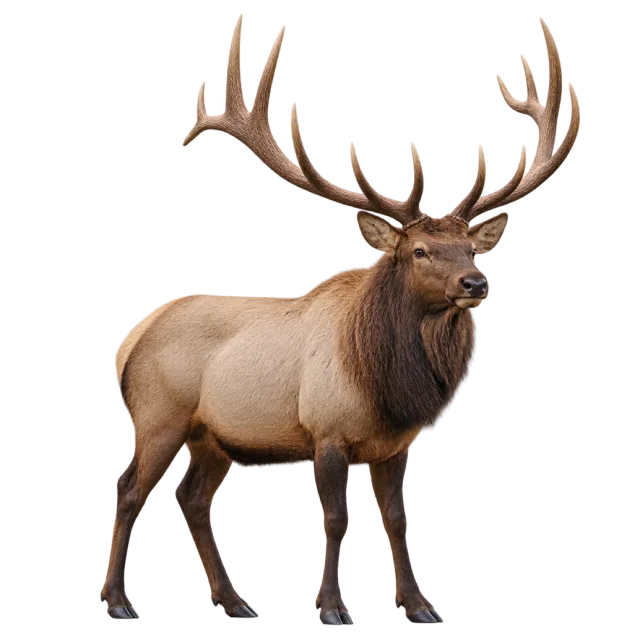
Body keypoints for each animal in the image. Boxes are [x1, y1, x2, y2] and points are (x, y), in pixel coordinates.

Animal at [104, 14, 581, 624]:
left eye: (474, 250)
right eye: (419, 251)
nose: (475, 284)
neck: (389, 389)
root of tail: (134, 335)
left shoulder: (397, 445)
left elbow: (396, 520)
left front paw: (418, 606)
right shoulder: (326, 430)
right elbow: (335, 520)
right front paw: (332, 609)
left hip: (213, 436)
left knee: (192, 499)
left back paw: (237, 603)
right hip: (158, 415)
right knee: (129, 492)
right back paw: (118, 601)